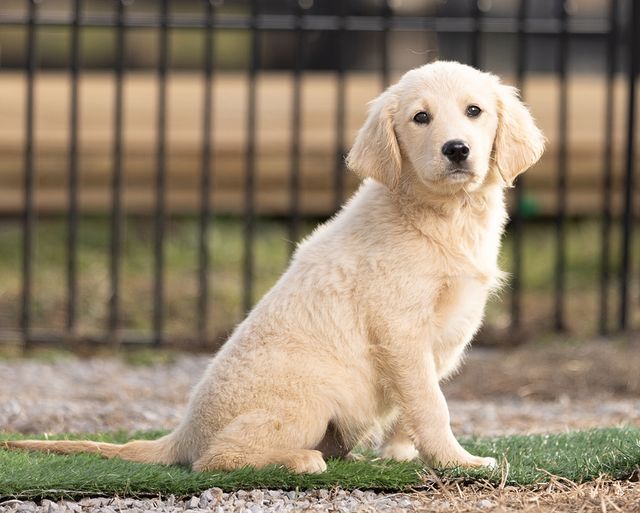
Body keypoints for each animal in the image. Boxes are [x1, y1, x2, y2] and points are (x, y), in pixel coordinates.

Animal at [5, 62, 544, 474]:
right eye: (420, 118)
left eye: (474, 111)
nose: (456, 149)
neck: (441, 215)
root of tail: (182, 434)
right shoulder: (401, 331)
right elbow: (432, 404)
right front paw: (458, 462)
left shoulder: (441, 339)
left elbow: (410, 408)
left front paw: (399, 456)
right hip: (306, 400)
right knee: (214, 460)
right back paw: (301, 460)